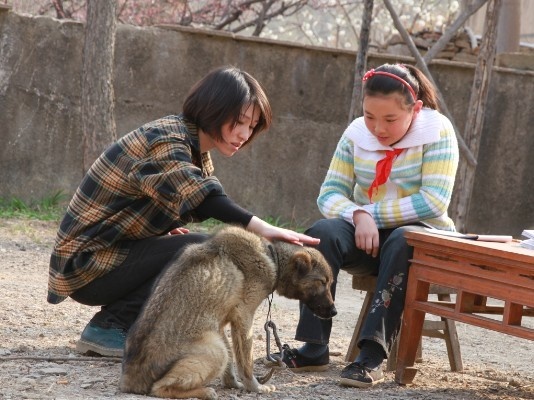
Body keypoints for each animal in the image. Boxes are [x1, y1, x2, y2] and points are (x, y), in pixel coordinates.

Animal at [121, 227, 338, 398]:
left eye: (329, 282)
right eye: (322, 282)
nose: (334, 311)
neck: (272, 257)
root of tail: (131, 381)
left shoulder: (223, 324)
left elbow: (232, 368)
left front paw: (234, 385)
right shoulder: (244, 318)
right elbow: (246, 363)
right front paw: (255, 387)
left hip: (217, 343)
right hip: (216, 350)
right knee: (158, 388)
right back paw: (205, 392)